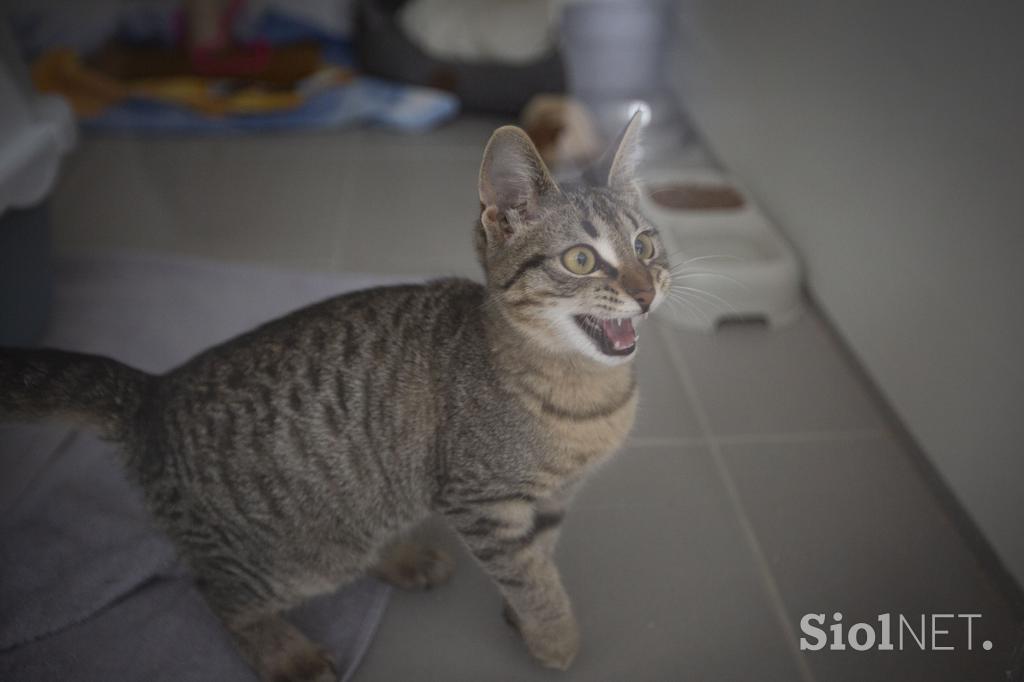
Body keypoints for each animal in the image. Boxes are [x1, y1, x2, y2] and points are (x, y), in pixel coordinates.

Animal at [0, 114, 671, 675]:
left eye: (645, 246)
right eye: (581, 259)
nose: (645, 292)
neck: (585, 395)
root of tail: (153, 391)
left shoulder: (551, 498)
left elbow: (540, 558)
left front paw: (527, 619)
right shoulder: (482, 502)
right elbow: (529, 576)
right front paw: (554, 636)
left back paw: (403, 558)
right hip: (294, 558)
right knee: (216, 593)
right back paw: (286, 654)